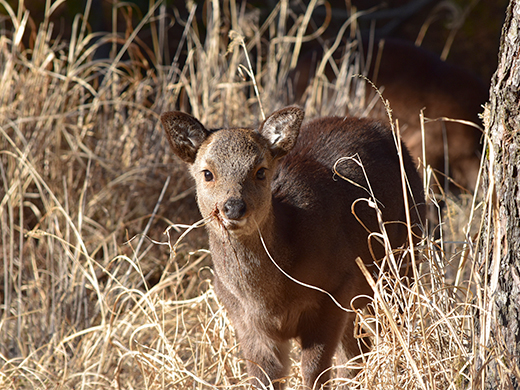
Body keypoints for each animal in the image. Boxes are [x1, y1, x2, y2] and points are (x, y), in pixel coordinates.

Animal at [160, 105, 424, 388]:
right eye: (207, 173)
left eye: (260, 170)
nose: (233, 207)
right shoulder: (242, 317)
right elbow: (265, 378)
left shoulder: (335, 290)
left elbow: (314, 373)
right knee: (359, 352)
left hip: (403, 259)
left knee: (390, 332)